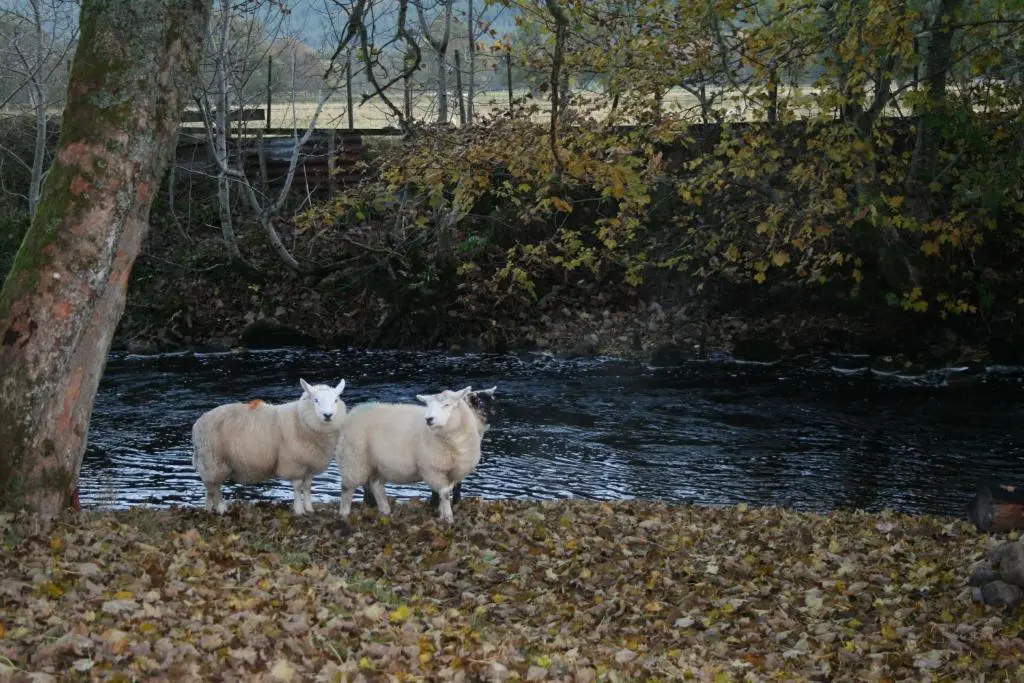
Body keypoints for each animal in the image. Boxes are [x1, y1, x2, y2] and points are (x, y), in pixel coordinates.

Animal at [192, 378, 346, 516]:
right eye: (316, 400)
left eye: (336, 400)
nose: (328, 415)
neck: (300, 420)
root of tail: (197, 424)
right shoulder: (294, 463)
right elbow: (297, 487)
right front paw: (299, 510)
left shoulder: (309, 465)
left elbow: (307, 486)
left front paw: (309, 508)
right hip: (213, 461)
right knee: (216, 488)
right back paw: (221, 509)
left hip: (209, 464)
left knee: (210, 488)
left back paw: (208, 509)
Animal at [336, 386, 481, 524]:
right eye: (428, 406)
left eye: (447, 405)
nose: (429, 419)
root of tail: (355, 410)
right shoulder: (432, 469)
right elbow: (444, 494)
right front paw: (449, 518)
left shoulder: (453, 472)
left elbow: (444, 493)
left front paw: (442, 514)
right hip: (353, 458)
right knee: (347, 487)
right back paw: (344, 515)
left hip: (378, 463)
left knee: (376, 486)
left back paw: (385, 511)